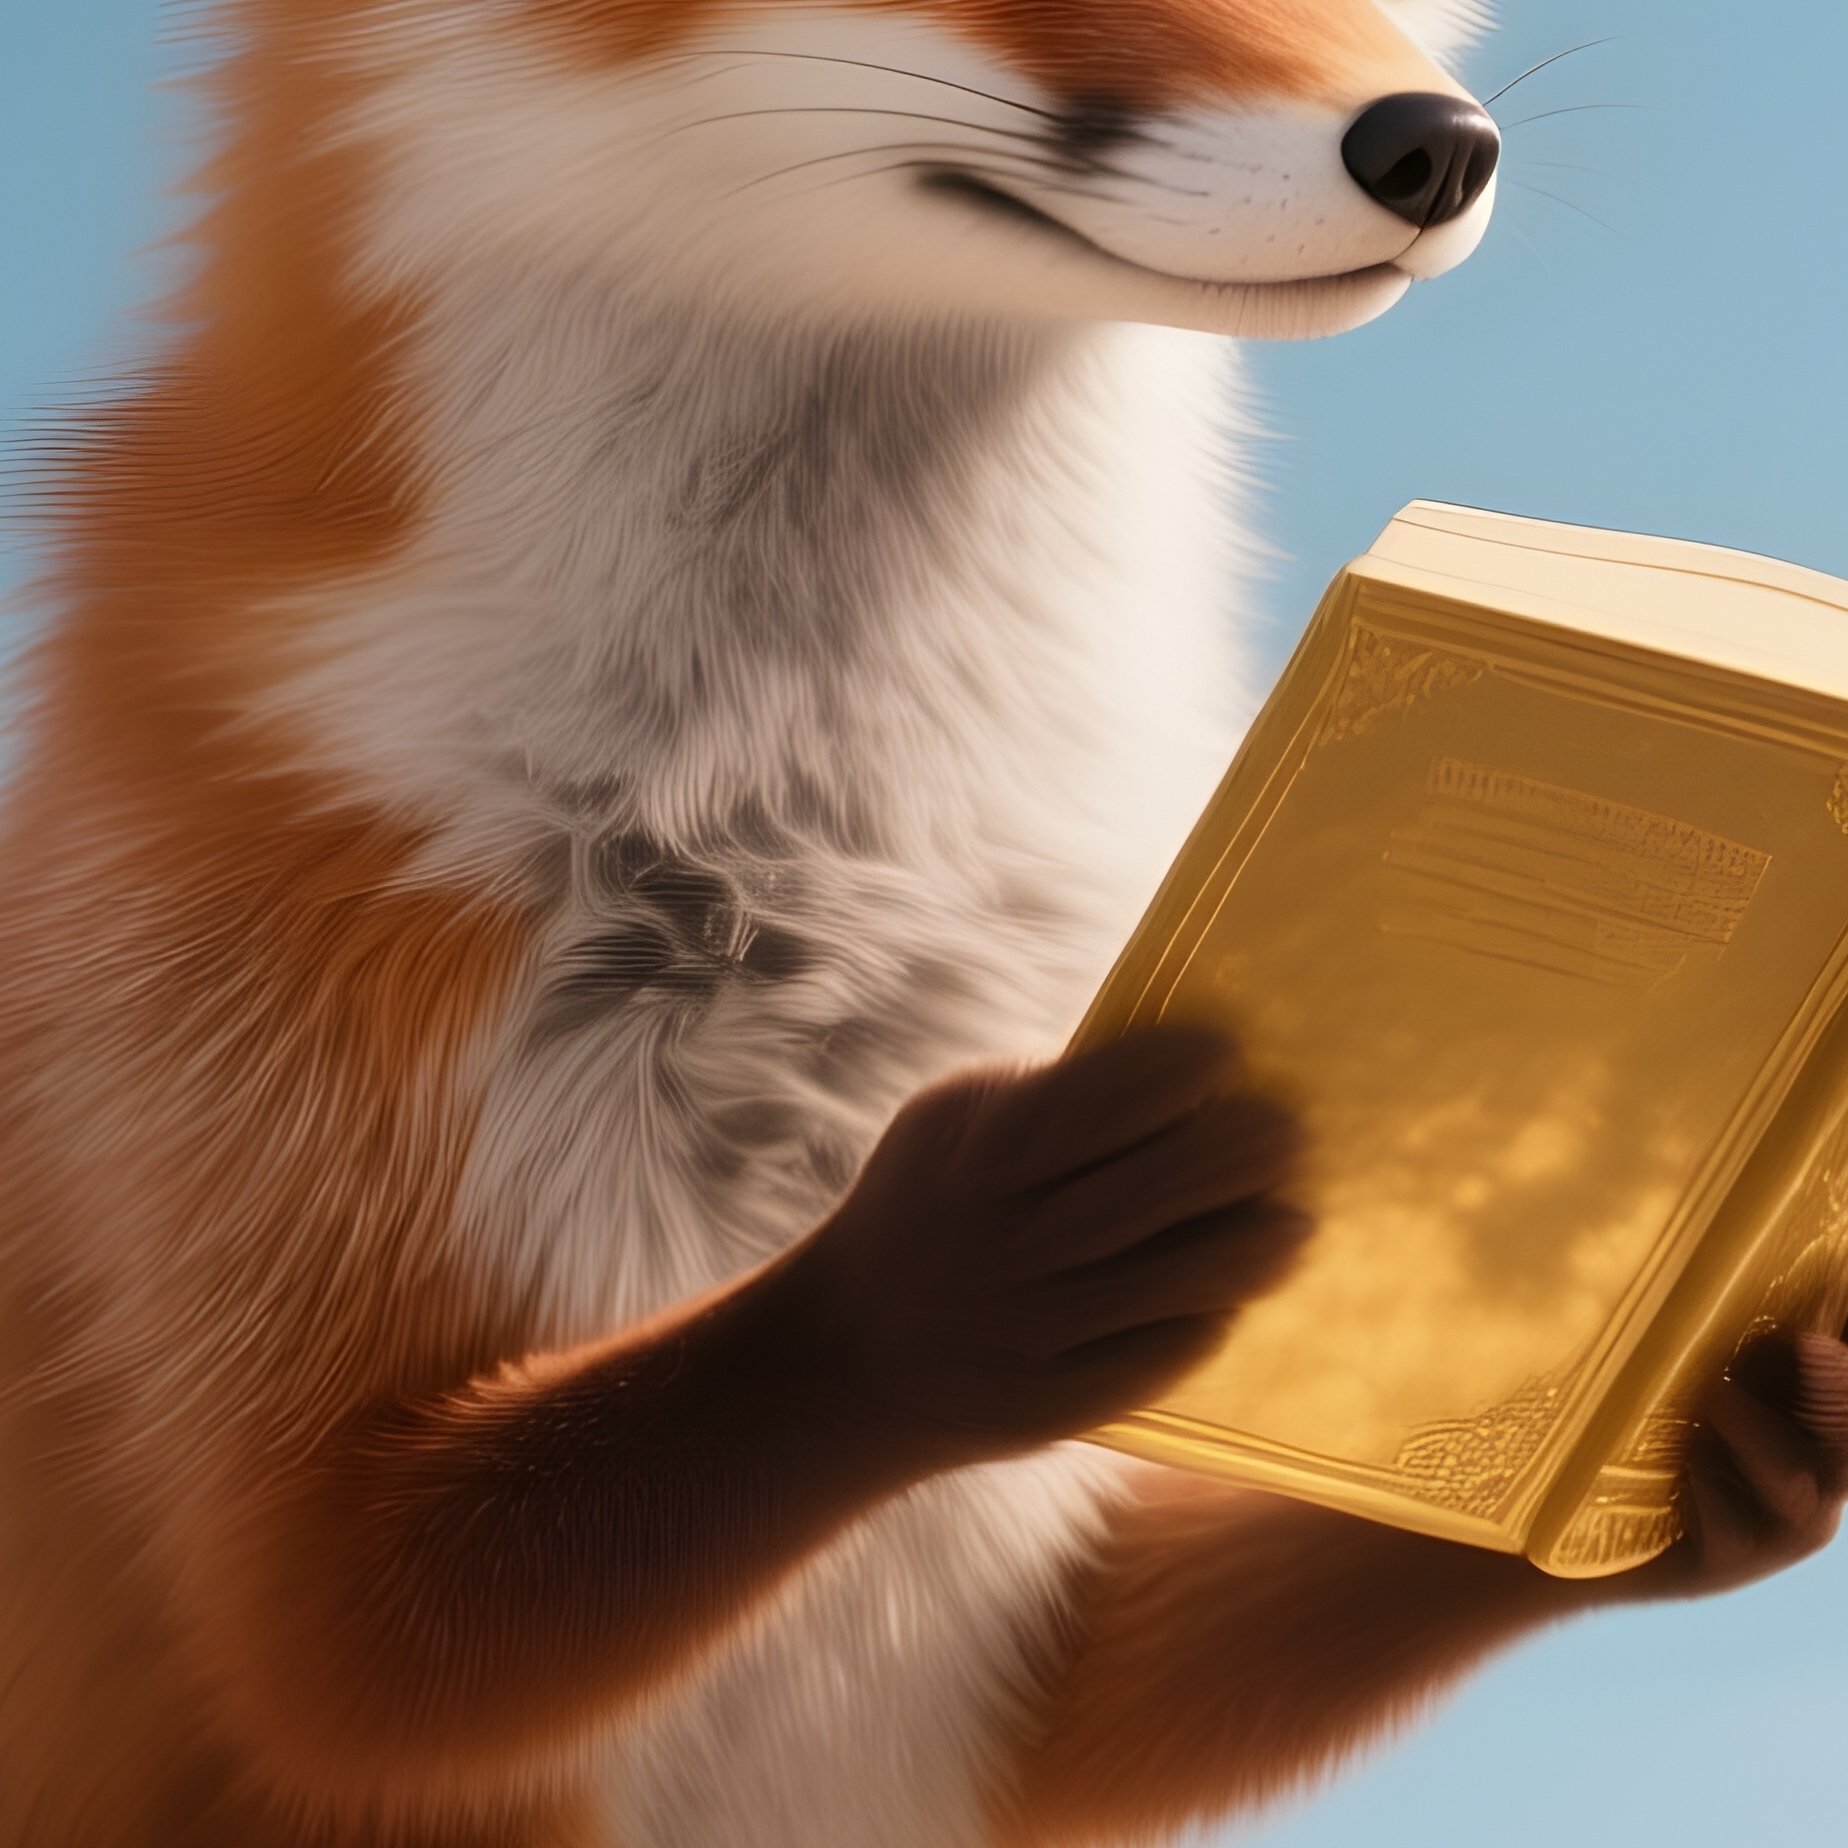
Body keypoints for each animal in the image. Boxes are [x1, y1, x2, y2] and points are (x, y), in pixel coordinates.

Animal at [3, 2, 1846, 1845]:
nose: (1435, 148)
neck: (844, 859)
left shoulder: (1010, 1654)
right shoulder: (242, 1100)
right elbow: (348, 1646)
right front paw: (959, 1266)